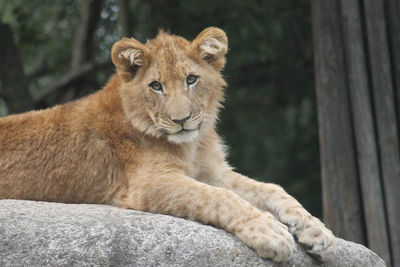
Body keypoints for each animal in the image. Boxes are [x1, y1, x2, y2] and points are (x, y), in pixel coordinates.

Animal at [0, 27, 334, 264]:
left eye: (191, 79)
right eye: (156, 86)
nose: (181, 120)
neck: (192, 145)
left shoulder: (211, 170)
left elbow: (271, 189)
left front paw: (318, 232)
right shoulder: (149, 182)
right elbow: (219, 198)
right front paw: (270, 233)